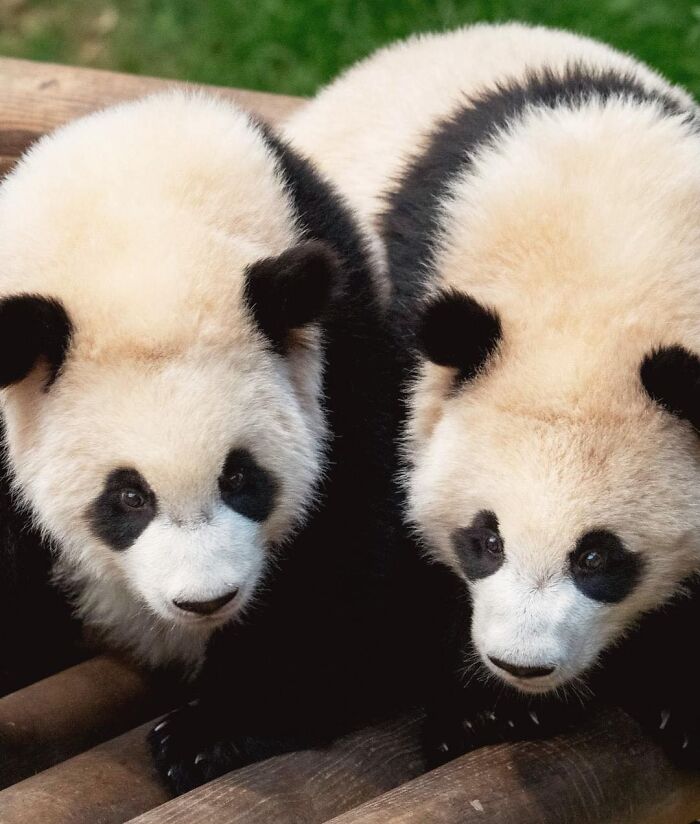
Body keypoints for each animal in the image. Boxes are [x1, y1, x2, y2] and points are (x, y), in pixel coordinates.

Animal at [0, 91, 425, 790]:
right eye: (129, 497)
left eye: (240, 477)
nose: (206, 601)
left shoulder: (338, 352)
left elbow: (341, 538)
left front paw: (213, 731)